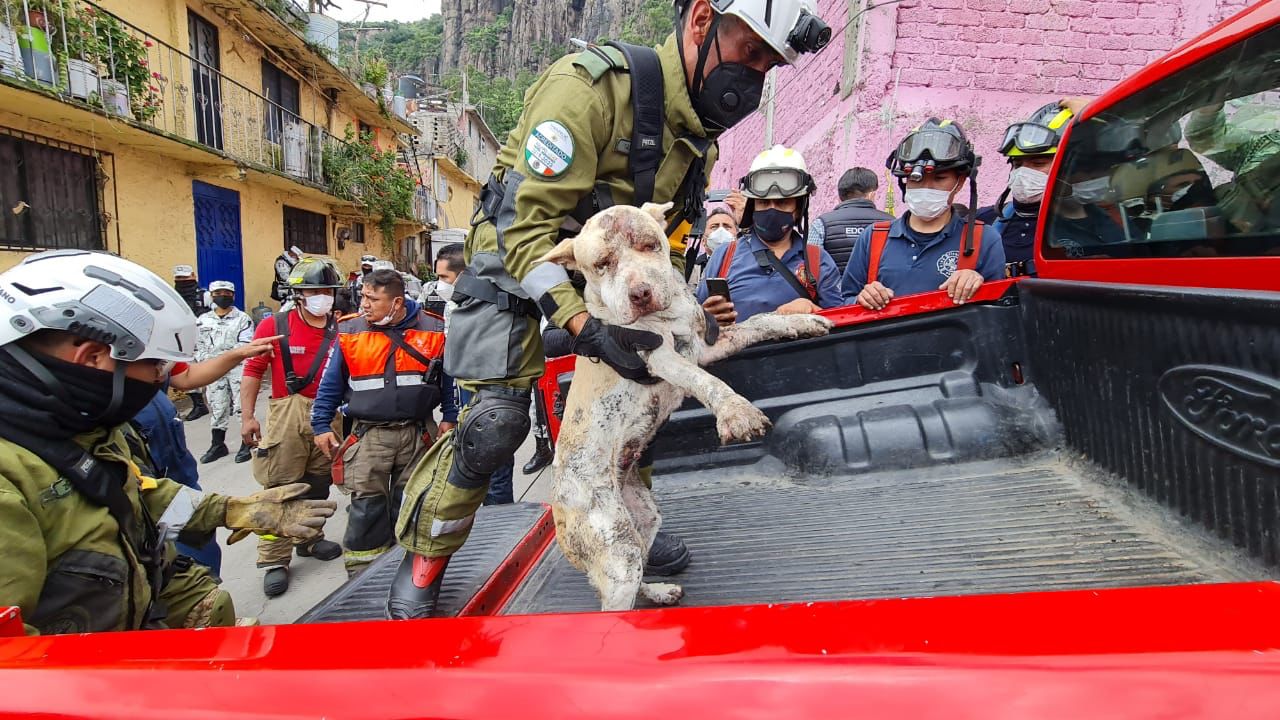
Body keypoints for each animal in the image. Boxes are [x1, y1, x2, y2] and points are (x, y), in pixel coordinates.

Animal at [535, 203, 834, 609]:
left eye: (649, 245)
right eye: (601, 264)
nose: (641, 293)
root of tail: (559, 512)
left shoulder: (706, 345)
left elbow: (759, 322)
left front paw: (801, 321)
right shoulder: (659, 357)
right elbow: (707, 383)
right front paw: (737, 413)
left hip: (643, 519)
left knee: (641, 566)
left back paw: (659, 591)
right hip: (616, 548)